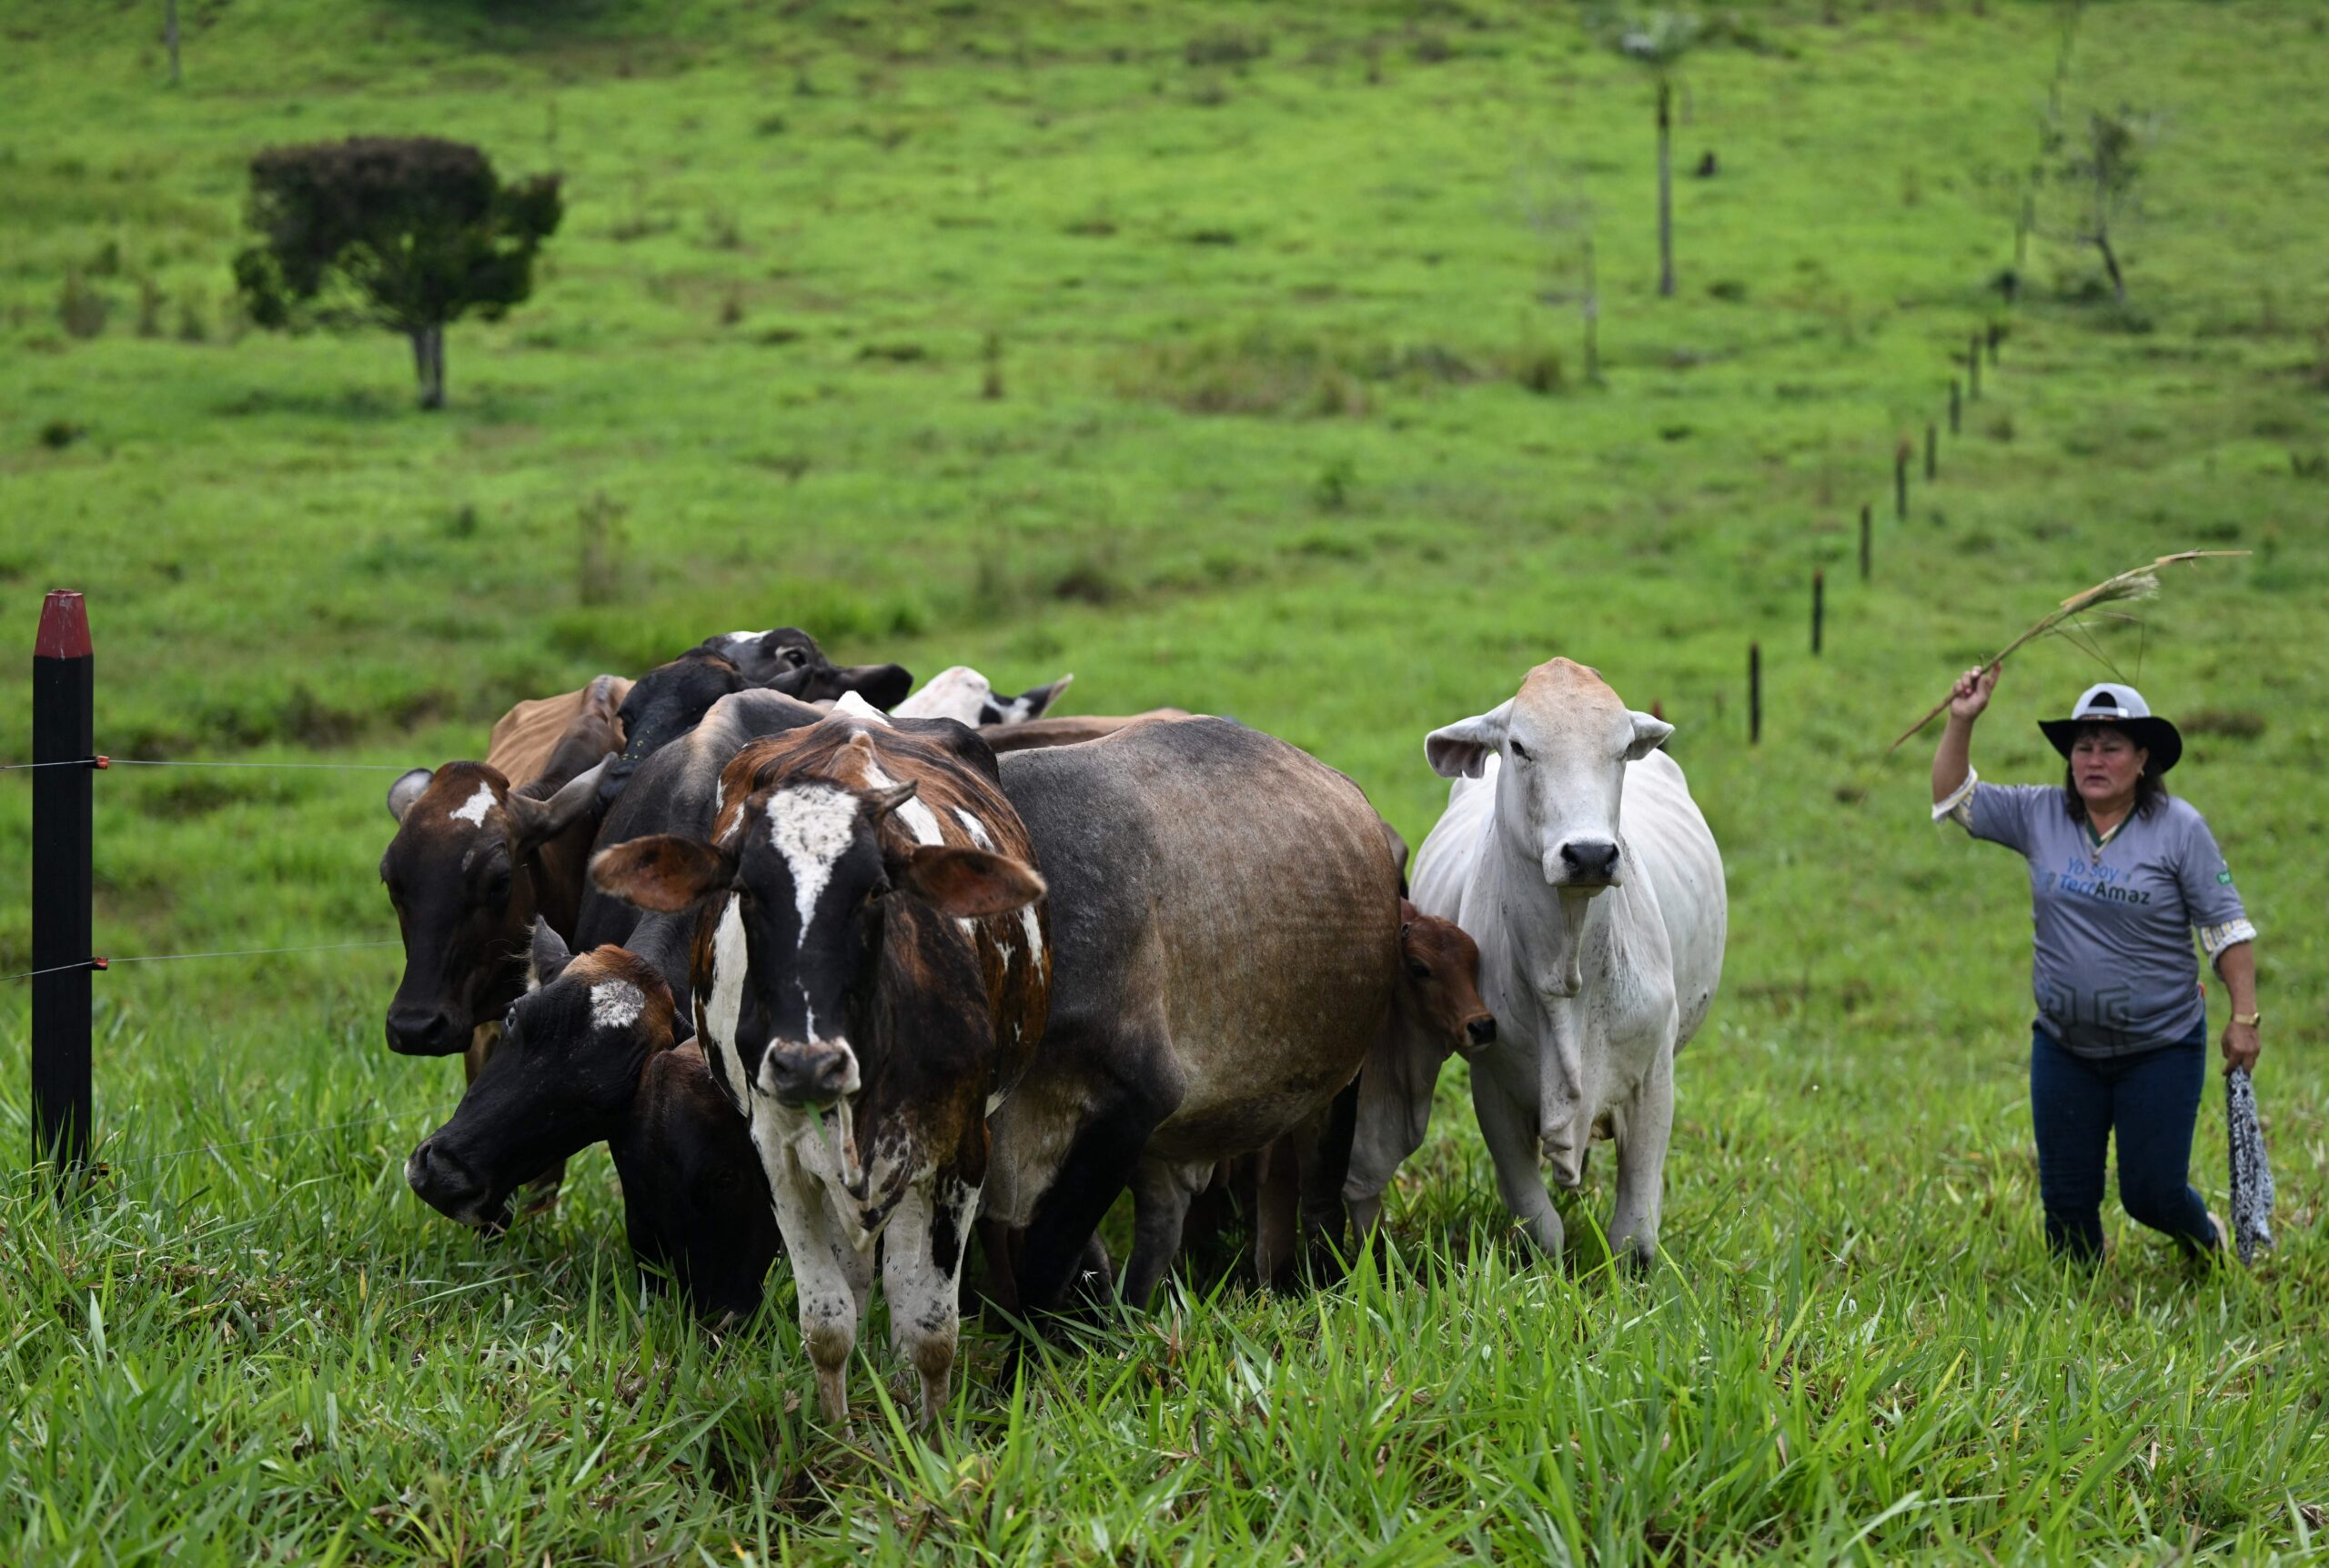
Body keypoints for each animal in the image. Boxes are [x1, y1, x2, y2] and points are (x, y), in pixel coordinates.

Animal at [590, 702, 1050, 1427]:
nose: (808, 1064)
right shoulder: (777, 1155)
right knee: (862, 1279)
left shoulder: (962, 1151)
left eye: (877, 890)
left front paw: (931, 1433)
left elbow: (932, 1324)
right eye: (745, 891)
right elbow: (828, 1320)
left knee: (902, 1279)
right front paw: (836, 1436)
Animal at [979, 717, 1402, 1312]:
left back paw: (1327, 1288)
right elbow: (1078, 1266)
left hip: (1336, 1091)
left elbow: (1047, 1265)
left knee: (1322, 1207)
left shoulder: (1134, 1101)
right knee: (1162, 1227)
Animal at [1359, 658, 1724, 1268]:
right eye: (1519, 746)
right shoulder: (1493, 1088)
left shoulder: (1654, 1083)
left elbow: (1634, 1238)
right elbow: (1540, 1226)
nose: (1591, 854)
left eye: (1620, 748)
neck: (1567, 972)